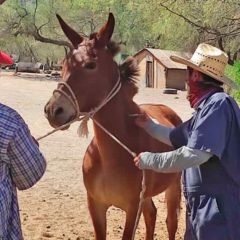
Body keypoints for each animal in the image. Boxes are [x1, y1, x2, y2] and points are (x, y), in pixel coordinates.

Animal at [44, 13, 181, 240]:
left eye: (91, 64)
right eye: (63, 64)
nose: (53, 110)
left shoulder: (132, 208)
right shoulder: (96, 205)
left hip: (174, 186)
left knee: (171, 222)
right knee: (152, 214)